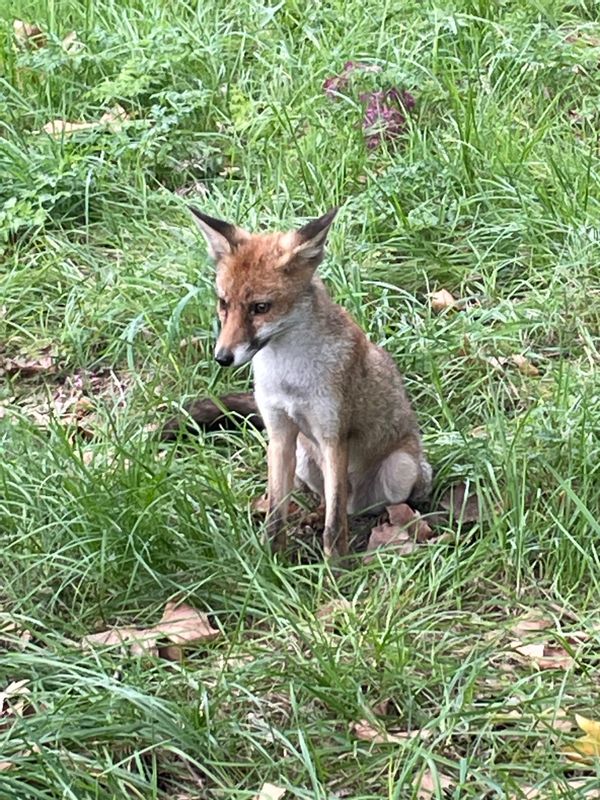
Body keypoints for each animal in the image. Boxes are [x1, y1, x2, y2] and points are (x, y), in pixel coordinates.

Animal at [180, 203, 428, 560]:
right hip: (303, 458)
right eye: (223, 303)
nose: (222, 357)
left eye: (260, 308)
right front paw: (272, 562)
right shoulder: (280, 434)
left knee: (358, 507)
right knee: (331, 502)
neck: (289, 379)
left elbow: (334, 527)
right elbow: (275, 516)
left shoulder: (333, 435)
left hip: (400, 469)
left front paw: (335, 570)